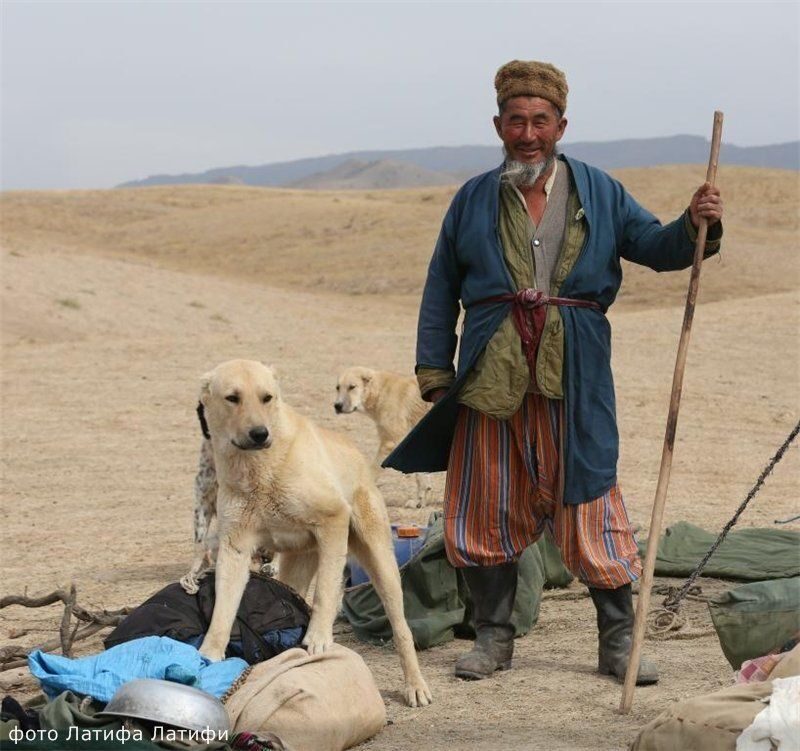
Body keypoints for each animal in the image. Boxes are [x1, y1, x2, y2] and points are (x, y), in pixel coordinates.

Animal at [332, 368, 432, 508]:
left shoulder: (389, 443)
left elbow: (371, 472)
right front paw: (420, 502)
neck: (380, 392)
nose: (337, 406)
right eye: (338, 387)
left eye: (352, 387)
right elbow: (421, 476)